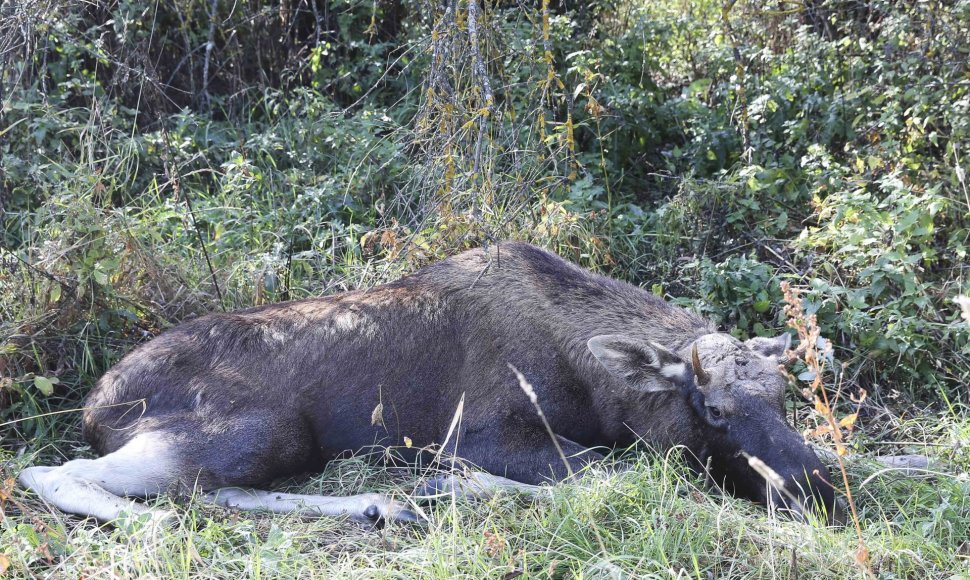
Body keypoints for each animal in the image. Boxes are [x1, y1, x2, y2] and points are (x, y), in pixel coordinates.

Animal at [17, 240, 840, 524]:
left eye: (784, 396)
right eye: (714, 410)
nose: (816, 487)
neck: (600, 390)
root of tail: (93, 403)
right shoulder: (476, 434)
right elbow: (609, 474)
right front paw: (451, 487)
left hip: (271, 443)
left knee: (215, 490)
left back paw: (381, 504)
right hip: (258, 427)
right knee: (49, 471)